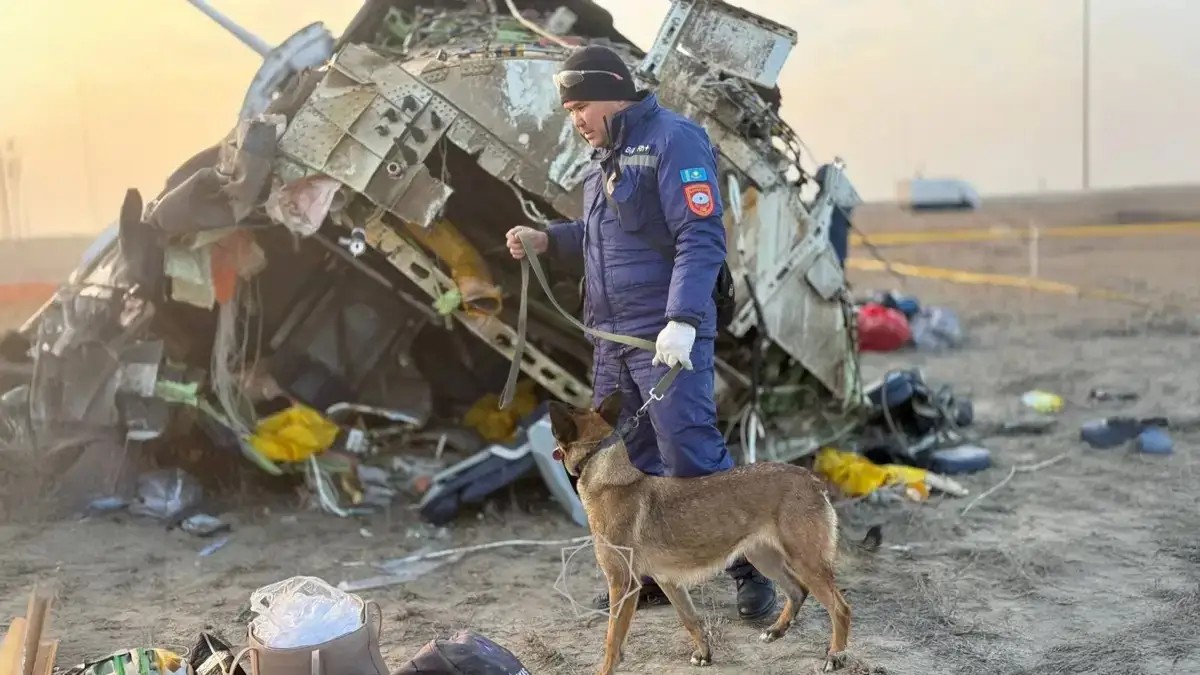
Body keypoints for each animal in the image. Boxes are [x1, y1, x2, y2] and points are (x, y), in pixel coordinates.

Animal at [549, 391, 878, 667]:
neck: (608, 473)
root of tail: (811, 479)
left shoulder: (623, 584)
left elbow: (612, 643)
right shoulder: (669, 582)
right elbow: (691, 620)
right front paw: (704, 653)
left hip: (804, 561)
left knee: (840, 609)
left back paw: (836, 655)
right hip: (765, 558)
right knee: (798, 590)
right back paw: (776, 630)